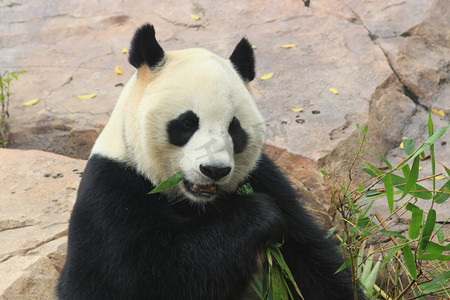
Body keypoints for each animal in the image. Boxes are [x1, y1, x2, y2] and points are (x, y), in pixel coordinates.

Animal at [57, 24, 366, 300]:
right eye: (187, 123)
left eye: (234, 128)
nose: (214, 170)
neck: (196, 203)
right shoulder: (114, 193)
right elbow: (140, 280)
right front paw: (260, 214)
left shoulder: (263, 178)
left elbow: (313, 264)